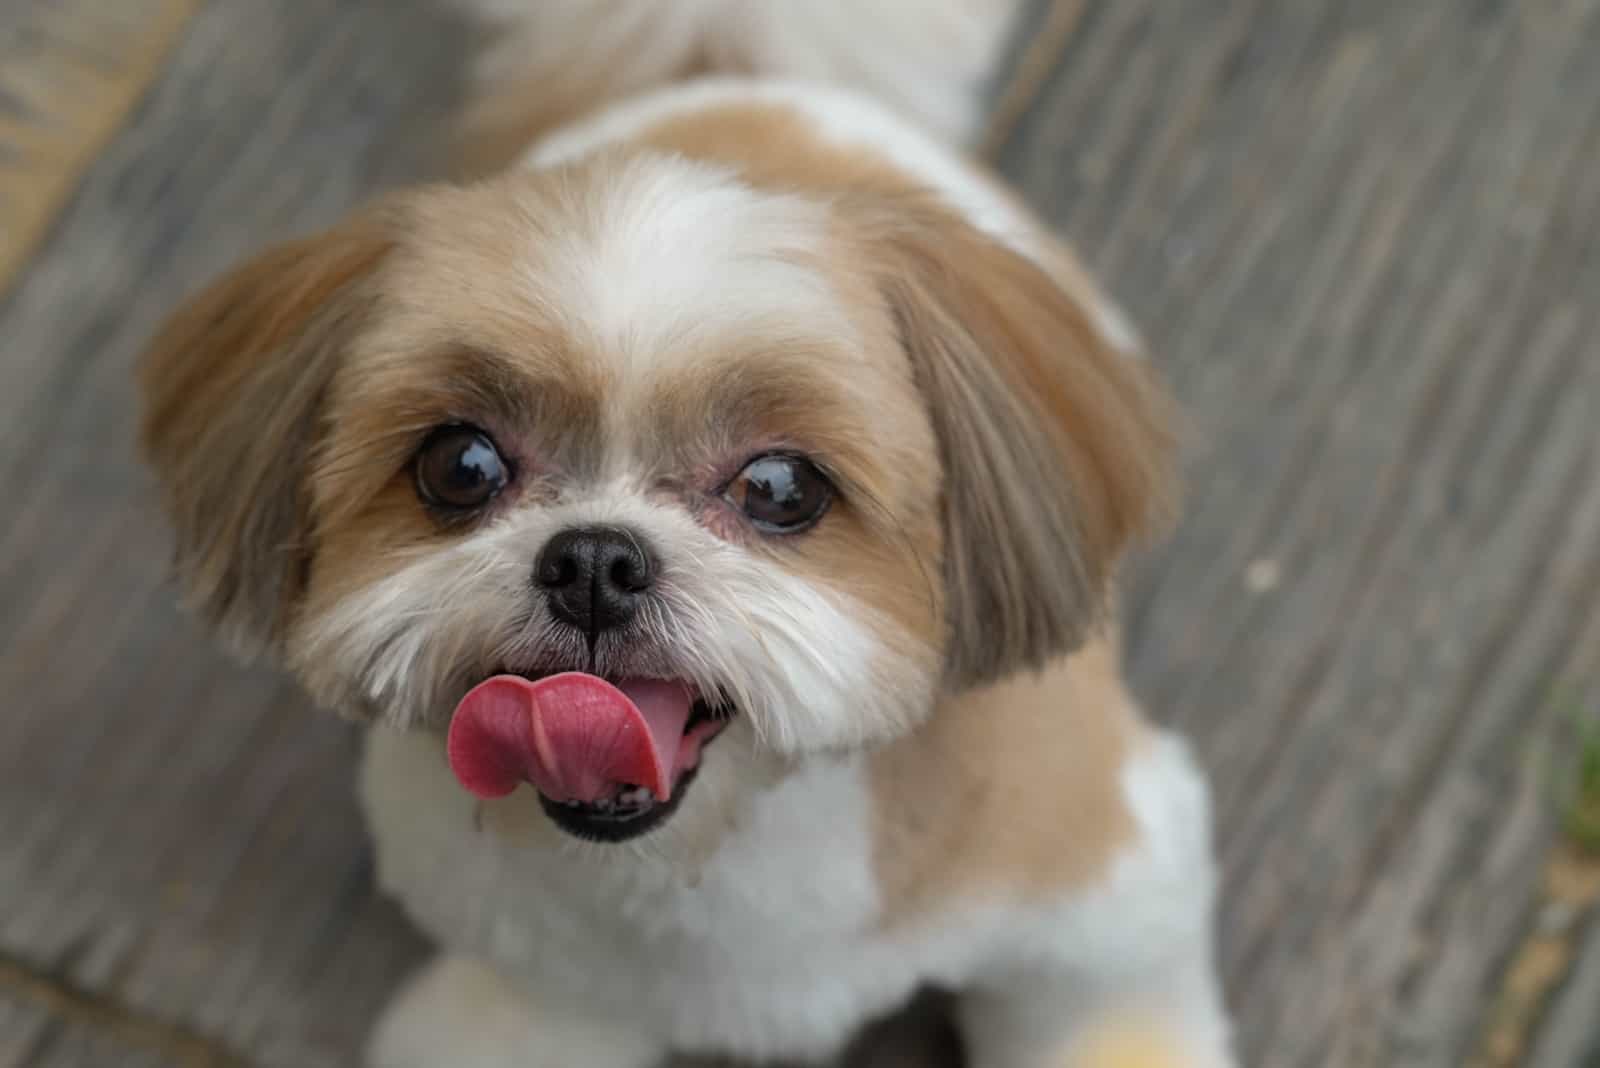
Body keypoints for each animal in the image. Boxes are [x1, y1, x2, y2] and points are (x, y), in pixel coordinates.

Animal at [137, 2, 1235, 1068]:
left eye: (781, 488)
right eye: (462, 466)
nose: (593, 560)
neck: (704, 862)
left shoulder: (1099, 905)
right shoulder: (533, 981)